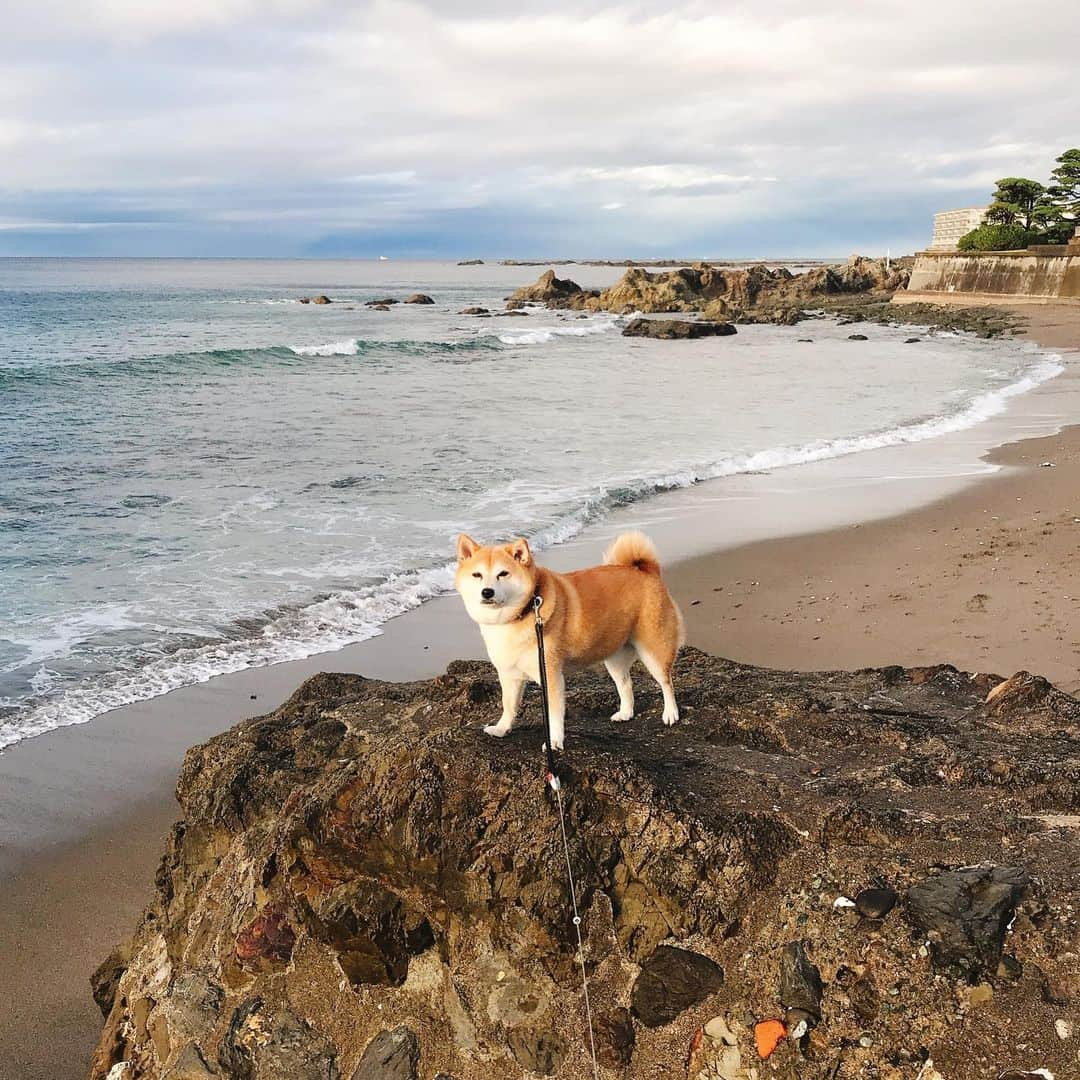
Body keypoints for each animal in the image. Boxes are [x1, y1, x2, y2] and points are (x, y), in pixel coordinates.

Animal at [453, 527, 682, 747]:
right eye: (477, 575)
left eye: (503, 574)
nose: (487, 592)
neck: (522, 614)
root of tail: (646, 571)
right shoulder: (510, 675)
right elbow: (508, 705)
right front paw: (501, 729)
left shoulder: (550, 676)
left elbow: (554, 715)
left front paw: (554, 742)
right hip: (614, 657)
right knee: (626, 685)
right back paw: (625, 713)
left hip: (653, 651)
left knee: (666, 683)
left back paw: (670, 713)